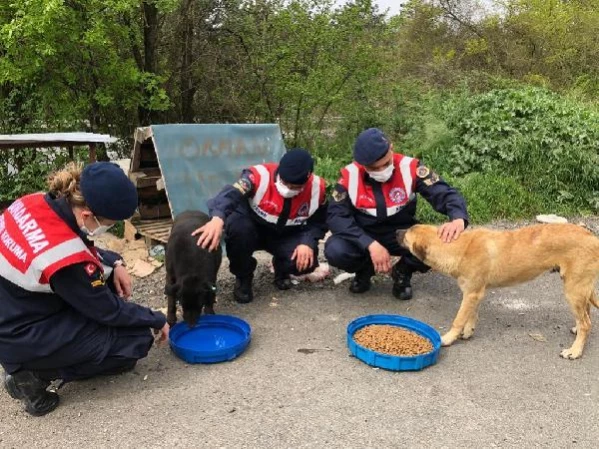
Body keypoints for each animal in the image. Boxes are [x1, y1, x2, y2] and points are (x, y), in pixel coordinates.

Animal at [398, 222, 599, 358]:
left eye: (406, 235)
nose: (395, 230)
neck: (460, 248)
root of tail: (593, 238)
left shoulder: (472, 293)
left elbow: (459, 319)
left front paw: (449, 338)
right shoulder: (474, 293)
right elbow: (471, 314)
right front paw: (468, 330)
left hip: (573, 290)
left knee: (586, 323)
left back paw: (575, 351)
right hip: (578, 289)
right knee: (586, 315)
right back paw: (576, 332)